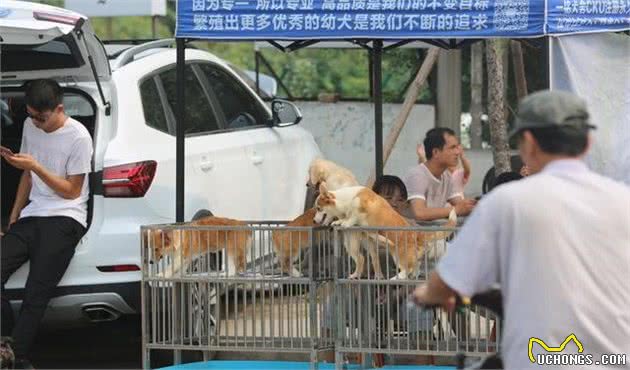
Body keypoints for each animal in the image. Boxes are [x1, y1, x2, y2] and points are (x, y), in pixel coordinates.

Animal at [316, 184, 460, 278]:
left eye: (318, 208)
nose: (313, 221)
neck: (345, 199)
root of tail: (418, 234)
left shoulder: (359, 211)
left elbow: (352, 217)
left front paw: (345, 222)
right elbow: (346, 219)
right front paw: (339, 222)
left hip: (400, 256)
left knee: (408, 269)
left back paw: (396, 277)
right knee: (414, 268)